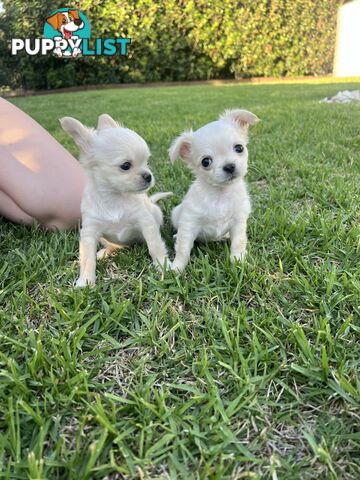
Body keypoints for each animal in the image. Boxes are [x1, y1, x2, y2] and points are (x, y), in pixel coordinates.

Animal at [60, 113, 172, 284]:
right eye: (125, 166)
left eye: (147, 162)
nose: (148, 176)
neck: (114, 198)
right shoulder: (89, 232)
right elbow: (87, 259)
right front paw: (85, 281)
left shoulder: (146, 222)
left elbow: (155, 246)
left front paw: (163, 266)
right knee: (113, 246)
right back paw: (103, 253)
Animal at [168, 109, 258, 274]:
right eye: (206, 162)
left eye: (239, 148)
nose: (229, 166)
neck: (220, 195)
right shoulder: (189, 223)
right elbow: (183, 248)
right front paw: (177, 268)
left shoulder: (239, 222)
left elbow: (238, 243)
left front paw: (239, 262)